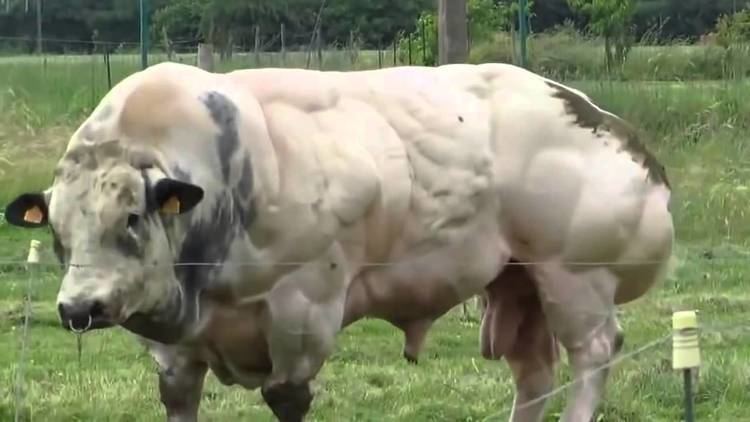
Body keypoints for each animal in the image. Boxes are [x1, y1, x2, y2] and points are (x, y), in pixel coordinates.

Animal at [4, 60, 676, 422]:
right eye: (57, 231)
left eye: (132, 219)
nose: (79, 307)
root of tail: (606, 121)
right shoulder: (171, 348)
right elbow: (179, 396)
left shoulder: (303, 313)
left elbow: (287, 395)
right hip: (518, 283)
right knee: (535, 372)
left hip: (576, 277)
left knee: (592, 354)